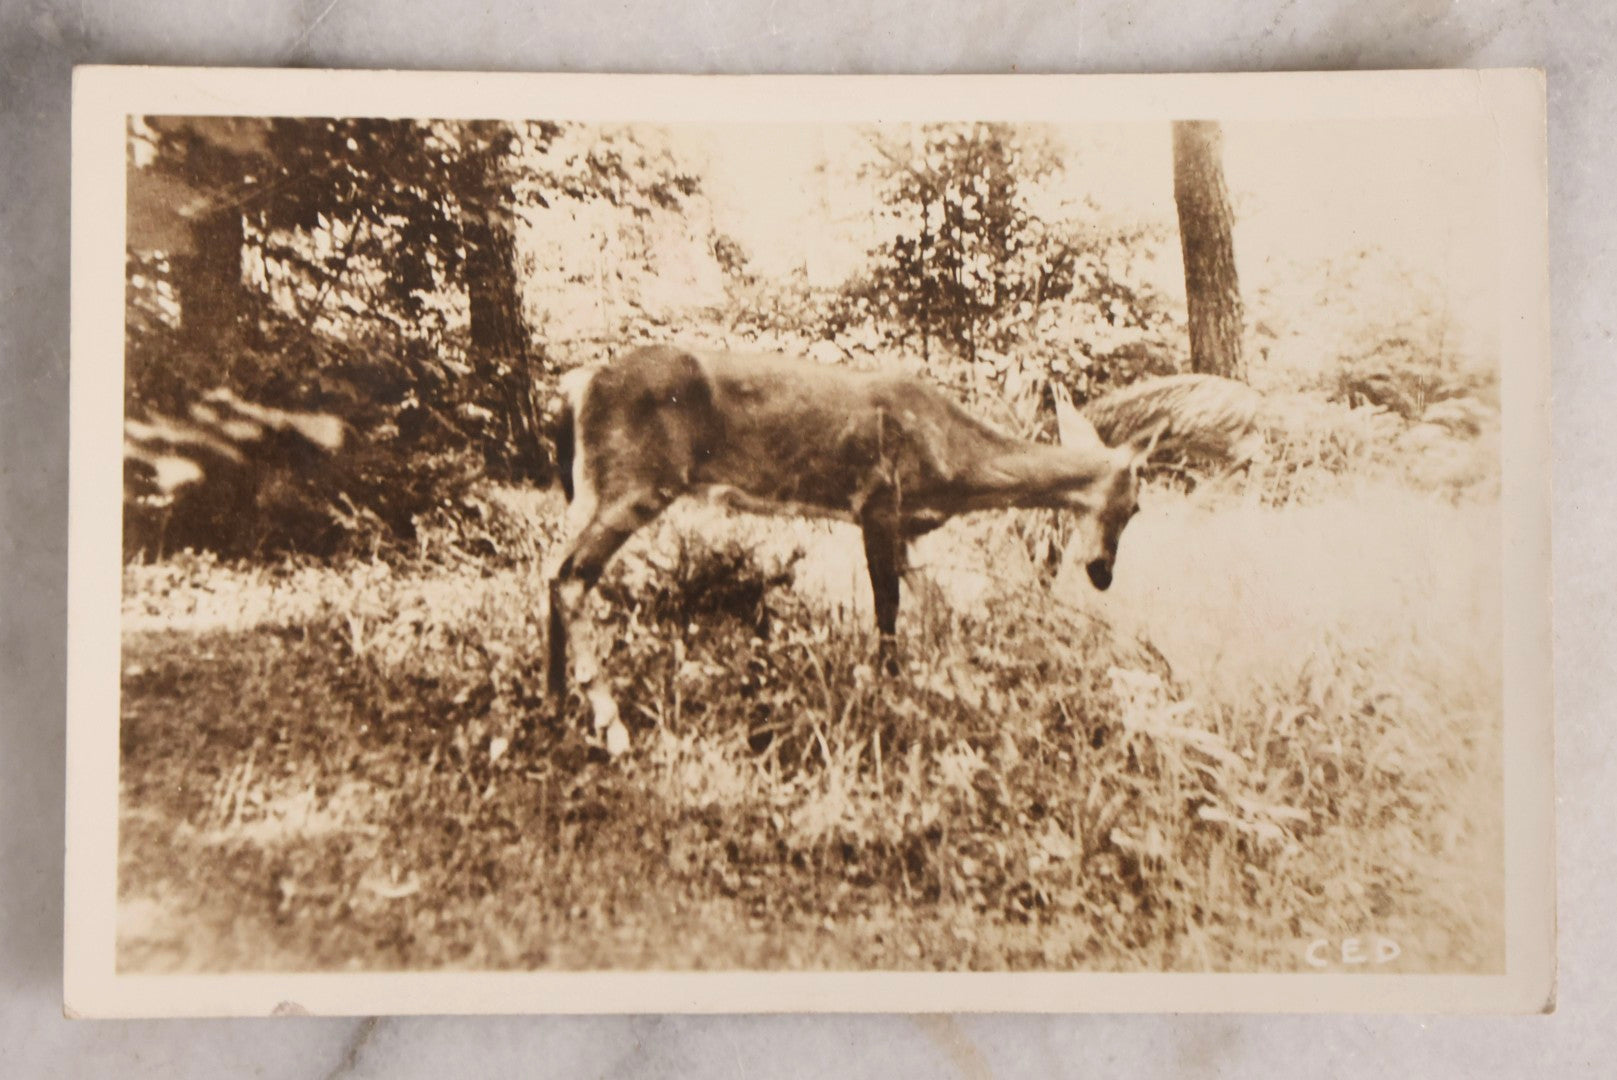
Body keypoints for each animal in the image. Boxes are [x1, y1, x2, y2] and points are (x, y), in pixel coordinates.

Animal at [545, 344, 1165, 755]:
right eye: (1136, 506)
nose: (1102, 573)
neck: (954, 460)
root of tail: (576, 387)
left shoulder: (907, 529)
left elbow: (936, 610)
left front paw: (964, 689)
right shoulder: (877, 501)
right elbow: (887, 610)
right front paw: (890, 696)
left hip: (595, 489)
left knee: (553, 572)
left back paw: (555, 702)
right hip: (636, 482)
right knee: (572, 576)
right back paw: (610, 724)